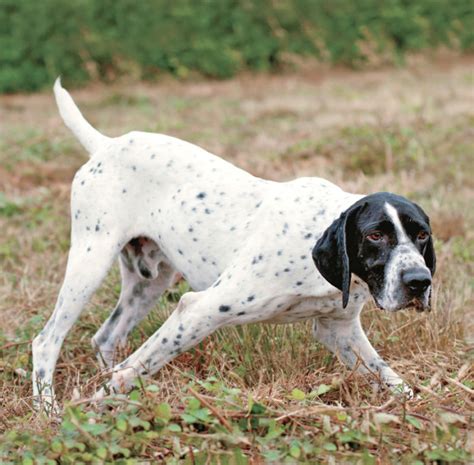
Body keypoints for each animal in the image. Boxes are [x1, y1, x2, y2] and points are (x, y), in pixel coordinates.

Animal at [31, 79, 436, 410]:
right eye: (375, 235)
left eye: (421, 235)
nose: (419, 282)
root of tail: (106, 144)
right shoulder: (199, 309)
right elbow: (135, 367)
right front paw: (91, 404)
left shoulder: (340, 331)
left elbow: (391, 378)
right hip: (90, 263)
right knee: (46, 340)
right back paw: (49, 412)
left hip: (150, 283)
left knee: (105, 338)